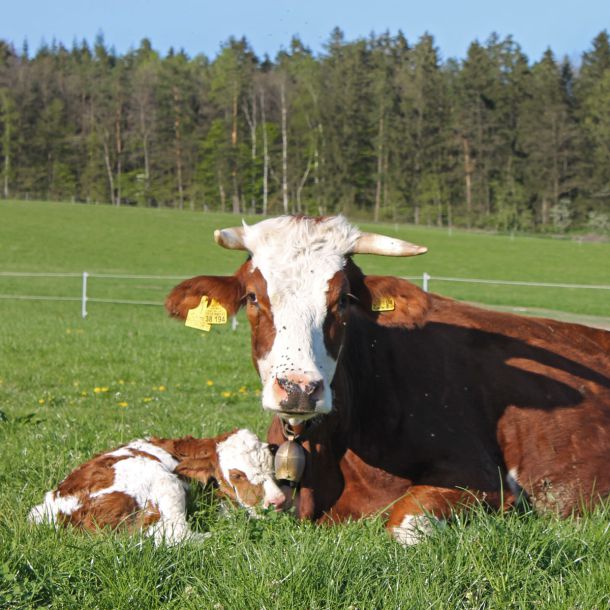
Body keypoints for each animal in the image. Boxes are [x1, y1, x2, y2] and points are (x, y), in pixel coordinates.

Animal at [28, 426, 284, 544]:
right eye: (238, 475)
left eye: (272, 468)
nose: (277, 501)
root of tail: (67, 513)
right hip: (165, 483)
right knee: (177, 536)